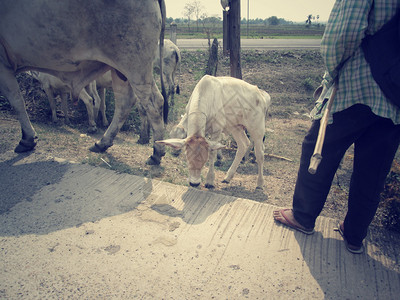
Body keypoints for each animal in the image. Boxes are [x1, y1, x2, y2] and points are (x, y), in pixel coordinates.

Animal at [0, 0, 167, 164]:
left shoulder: (4, 65)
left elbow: (18, 102)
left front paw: (27, 138)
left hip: (135, 65)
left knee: (153, 102)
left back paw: (156, 152)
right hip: (120, 70)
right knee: (124, 103)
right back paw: (103, 142)